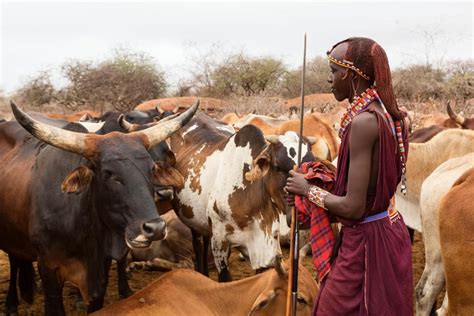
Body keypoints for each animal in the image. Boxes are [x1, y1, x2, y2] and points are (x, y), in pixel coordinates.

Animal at [0, 100, 198, 314]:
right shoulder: (49, 269)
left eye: (152, 168)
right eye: (108, 173)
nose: (156, 228)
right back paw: (12, 303)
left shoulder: (101, 271)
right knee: (14, 261)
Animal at [168, 112, 314, 280]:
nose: (300, 216)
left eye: (312, 167)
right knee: (198, 246)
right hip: (193, 223)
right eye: (277, 166)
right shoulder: (220, 241)